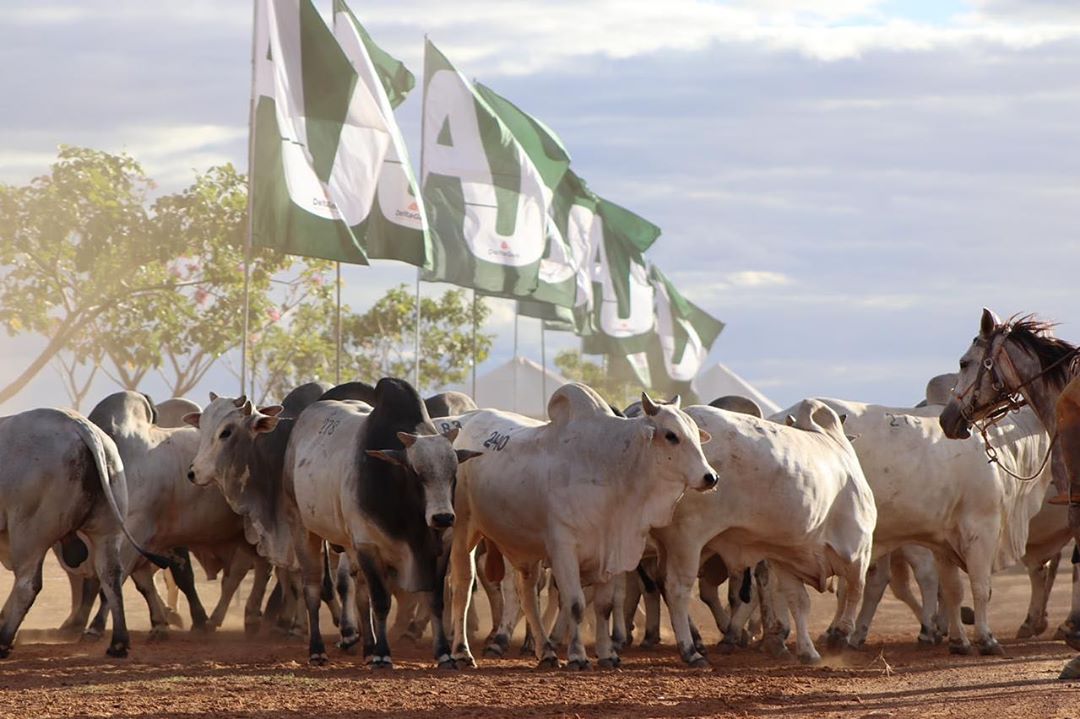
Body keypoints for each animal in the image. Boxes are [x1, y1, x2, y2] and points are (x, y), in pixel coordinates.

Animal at [444, 384, 717, 669]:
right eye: (671, 435)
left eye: (696, 434)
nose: (710, 477)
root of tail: (465, 423)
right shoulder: (564, 549)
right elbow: (575, 603)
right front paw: (577, 656)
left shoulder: (610, 555)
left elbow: (604, 606)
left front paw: (607, 655)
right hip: (464, 531)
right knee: (462, 586)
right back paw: (462, 652)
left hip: (526, 548)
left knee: (527, 594)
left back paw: (546, 652)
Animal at [648, 395, 876, 665]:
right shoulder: (858, 549)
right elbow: (854, 589)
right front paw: (839, 635)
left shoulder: (787, 558)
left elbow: (800, 602)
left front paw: (807, 650)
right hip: (687, 539)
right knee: (677, 589)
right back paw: (691, 651)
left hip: (669, 544)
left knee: (664, 583)